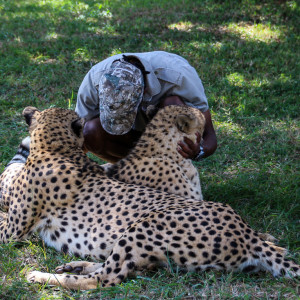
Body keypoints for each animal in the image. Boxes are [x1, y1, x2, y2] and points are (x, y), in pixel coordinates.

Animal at [0, 106, 298, 290]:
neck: (55, 149)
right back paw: (72, 266)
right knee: (113, 272)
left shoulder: (13, 230)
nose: (208, 114)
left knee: (106, 278)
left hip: (145, 225)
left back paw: (42, 274)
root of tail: (243, 235)